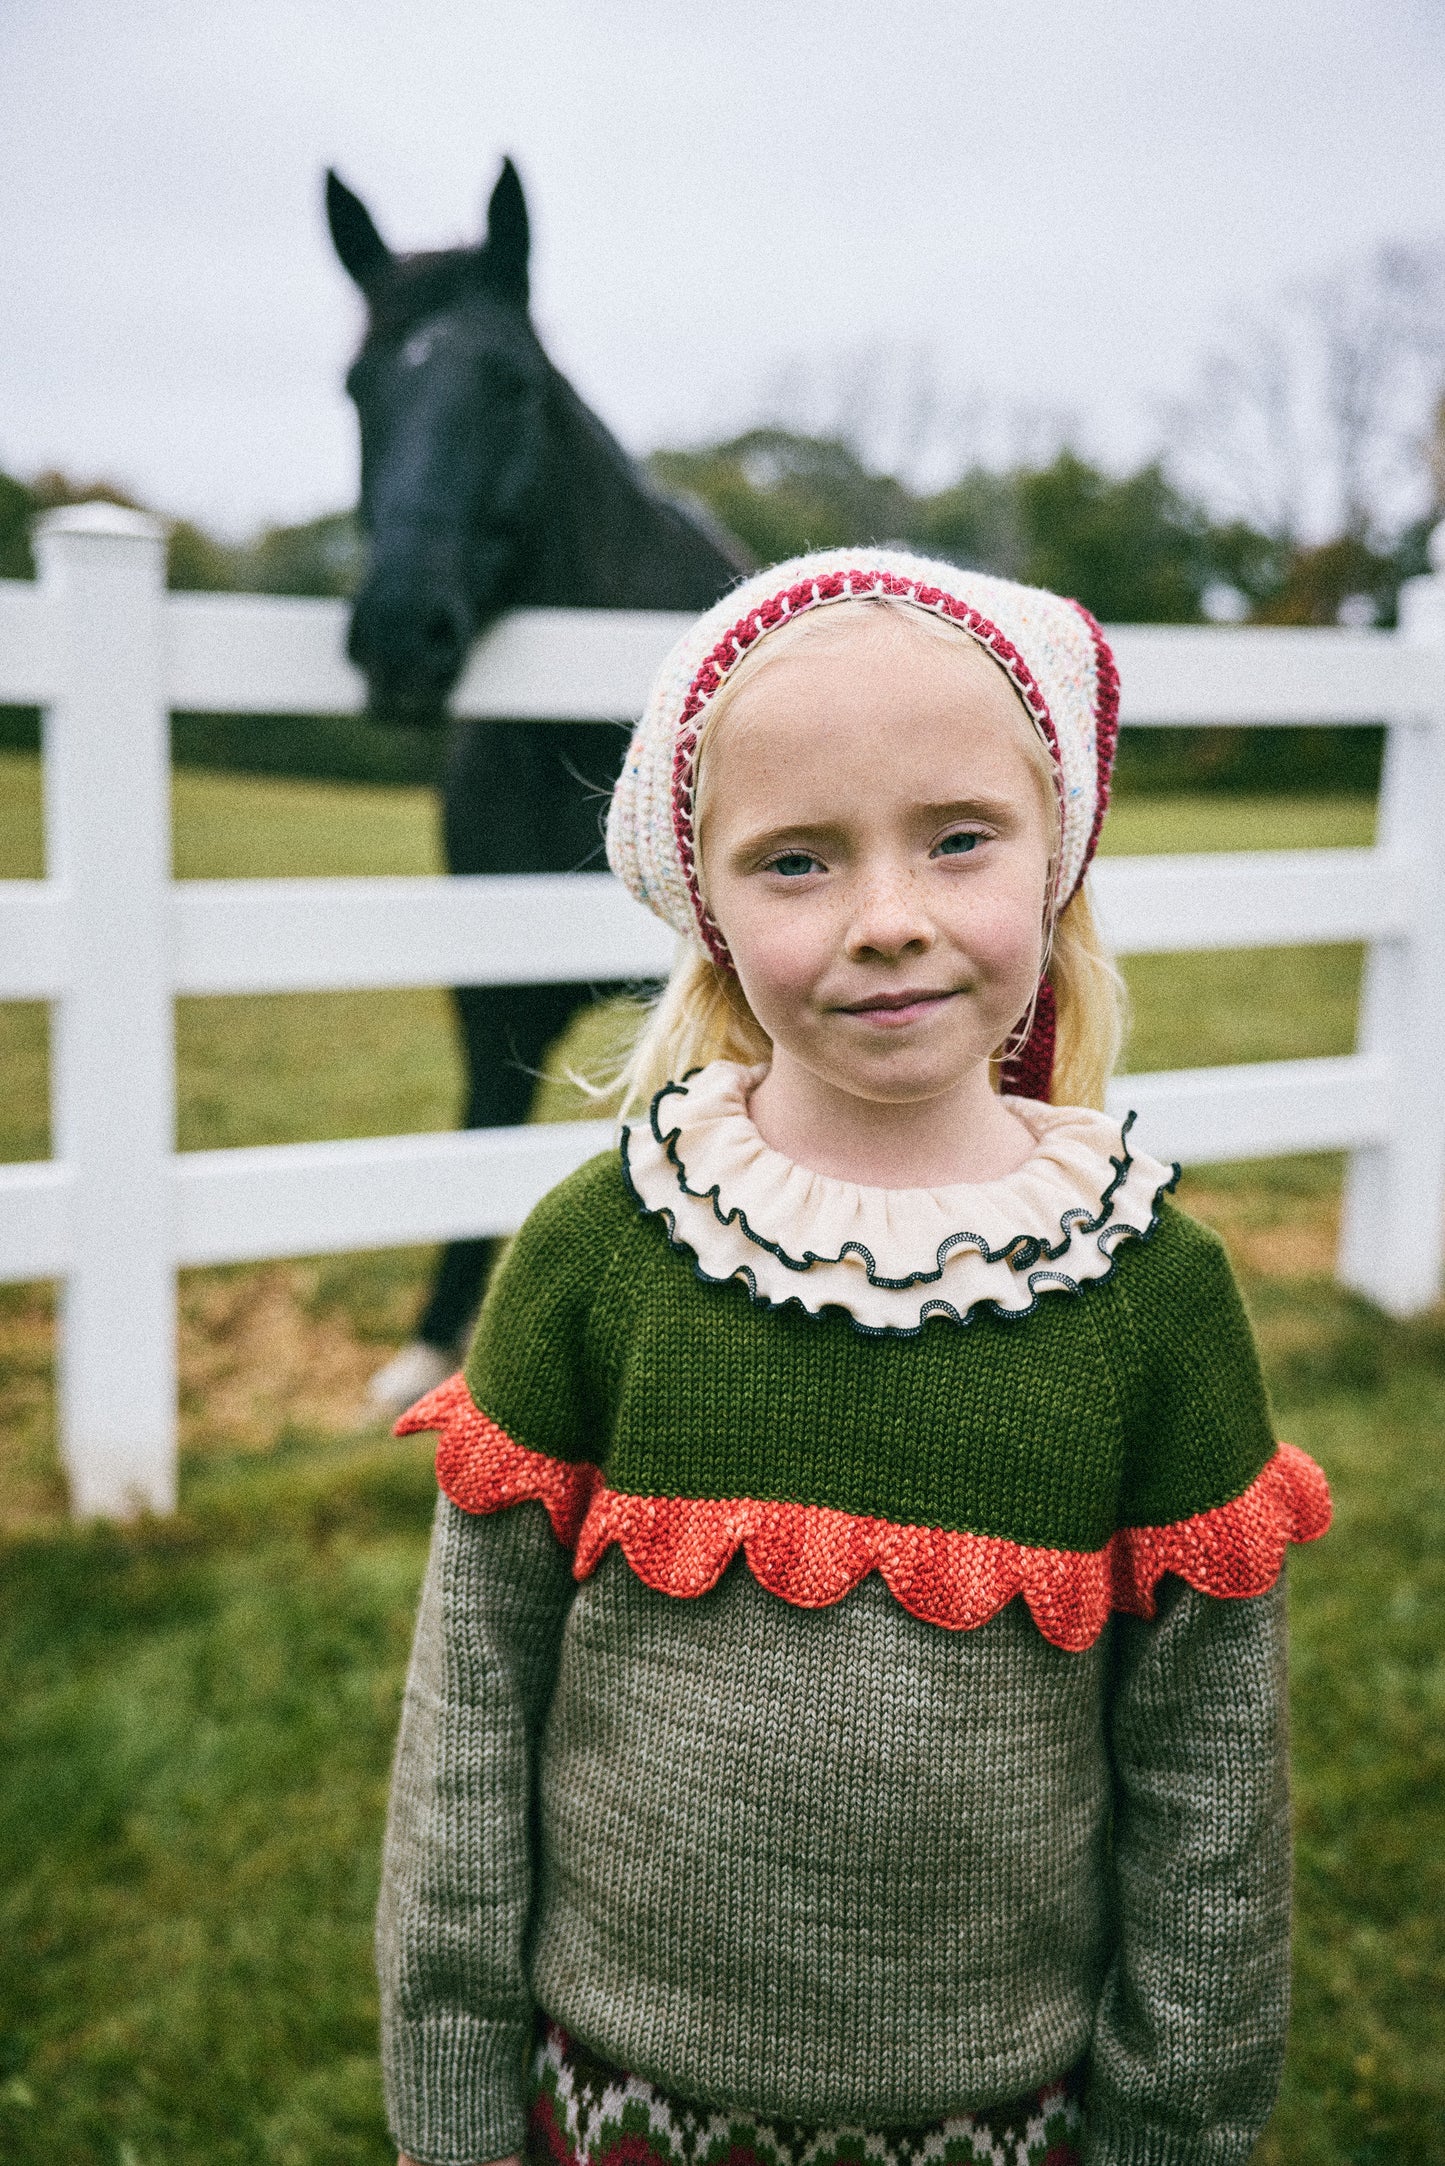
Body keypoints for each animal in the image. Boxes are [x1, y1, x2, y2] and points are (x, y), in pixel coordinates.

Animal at [329, 157, 753, 1386]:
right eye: (356, 389)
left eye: (513, 384)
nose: (400, 637)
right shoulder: (490, 992)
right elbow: (481, 1127)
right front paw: (435, 1343)